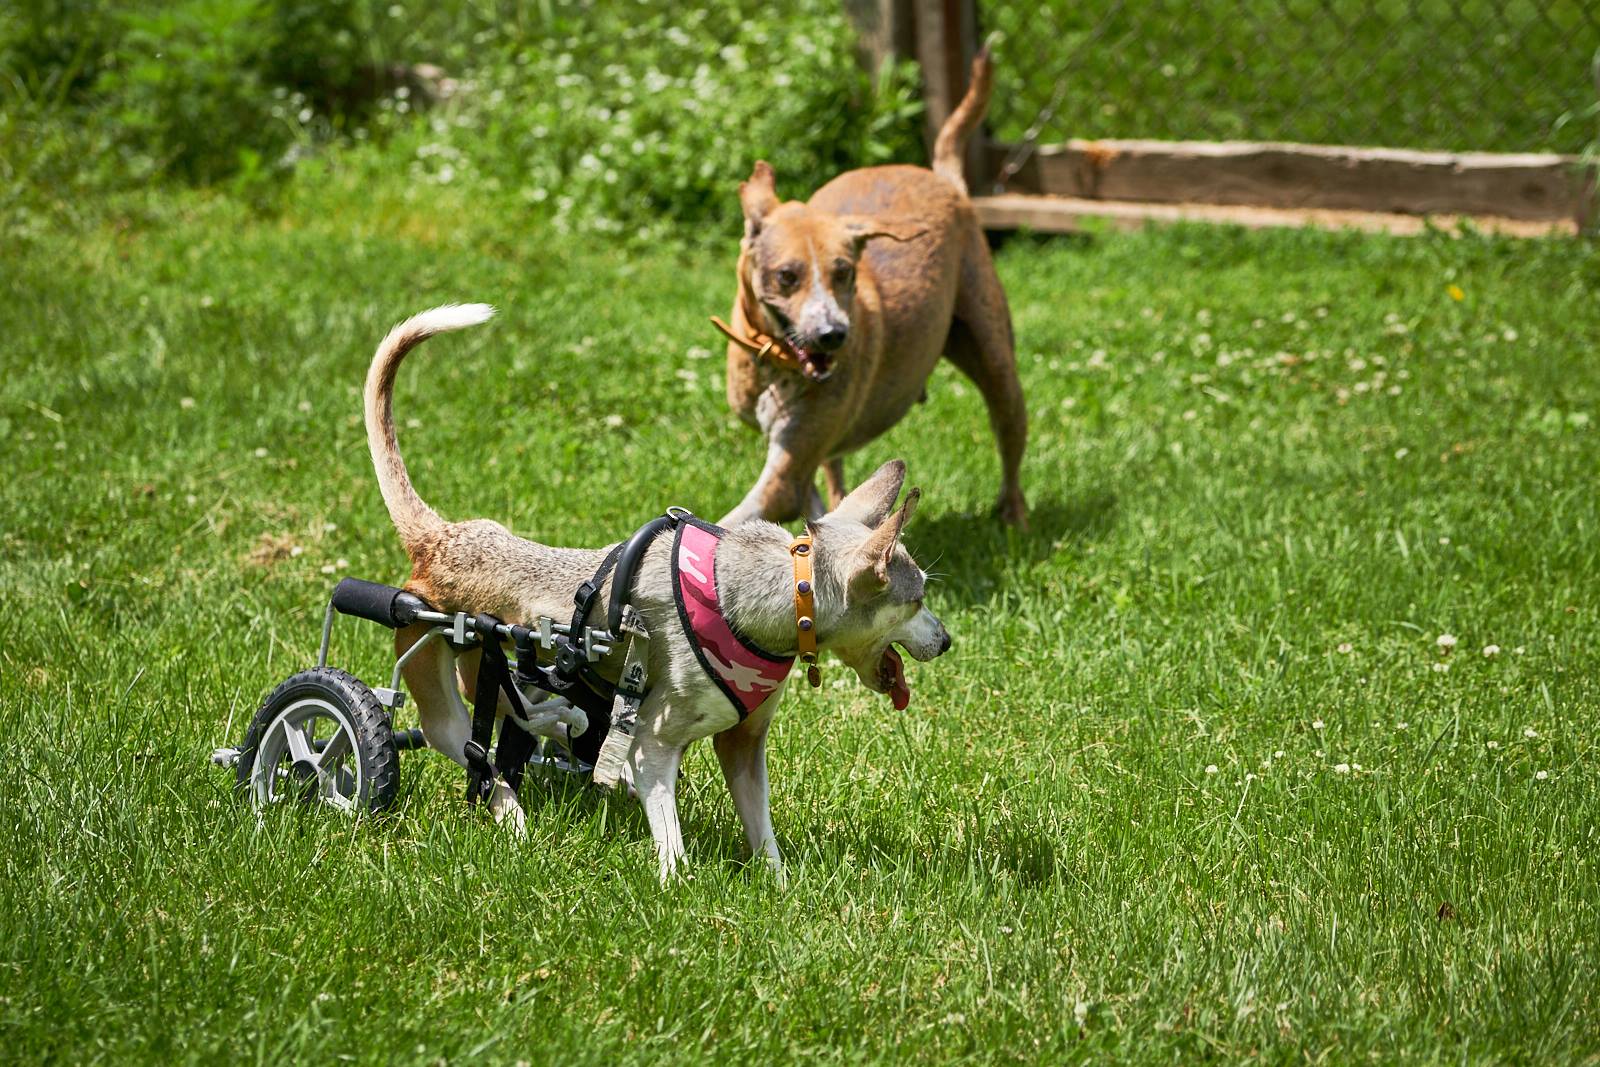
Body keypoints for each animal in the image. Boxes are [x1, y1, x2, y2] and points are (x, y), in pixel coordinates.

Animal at [363, 303, 947, 883]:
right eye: (917, 600)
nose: (945, 640)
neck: (758, 594)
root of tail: (439, 537)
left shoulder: (743, 742)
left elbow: (763, 831)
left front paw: (780, 887)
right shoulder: (653, 744)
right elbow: (668, 830)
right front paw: (677, 882)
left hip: (515, 664)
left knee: (523, 716)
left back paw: (562, 736)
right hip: (438, 663)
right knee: (463, 740)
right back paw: (515, 811)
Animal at [716, 49, 1024, 531]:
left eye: (844, 272)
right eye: (787, 276)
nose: (833, 335)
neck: (777, 367)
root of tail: (945, 180)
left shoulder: (785, 475)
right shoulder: (802, 454)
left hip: (993, 353)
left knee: (1008, 430)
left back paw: (1014, 515)